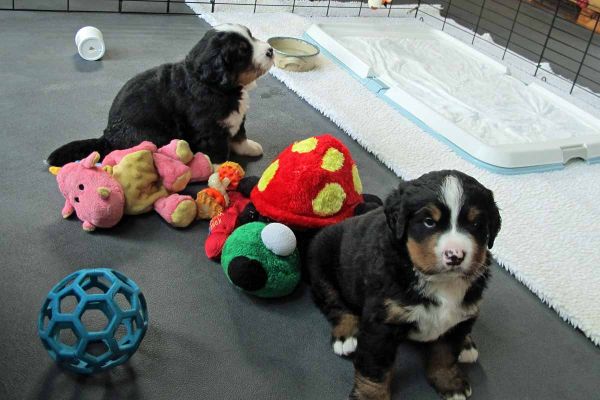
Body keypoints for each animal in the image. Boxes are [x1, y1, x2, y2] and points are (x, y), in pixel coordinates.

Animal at [49, 23, 274, 167]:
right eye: (243, 51)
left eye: (251, 35)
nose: (271, 50)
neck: (214, 86)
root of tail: (108, 135)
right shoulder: (210, 130)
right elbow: (218, 153)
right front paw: (221, 177)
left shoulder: (237, 117)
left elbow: (240, 134)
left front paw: (249, 147)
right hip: (153, 136)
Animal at [308, 170, 500, 400]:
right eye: (429, 222)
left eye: (475, 224)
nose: (455, 256)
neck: (439, 281)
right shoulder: (382, 322)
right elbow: (375, 368)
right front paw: (371, 396)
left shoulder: (457, 319)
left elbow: (445, 354)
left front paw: (450, 383)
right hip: (321, 259)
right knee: (334, 303)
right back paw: (346, 335)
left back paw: (467, 344)